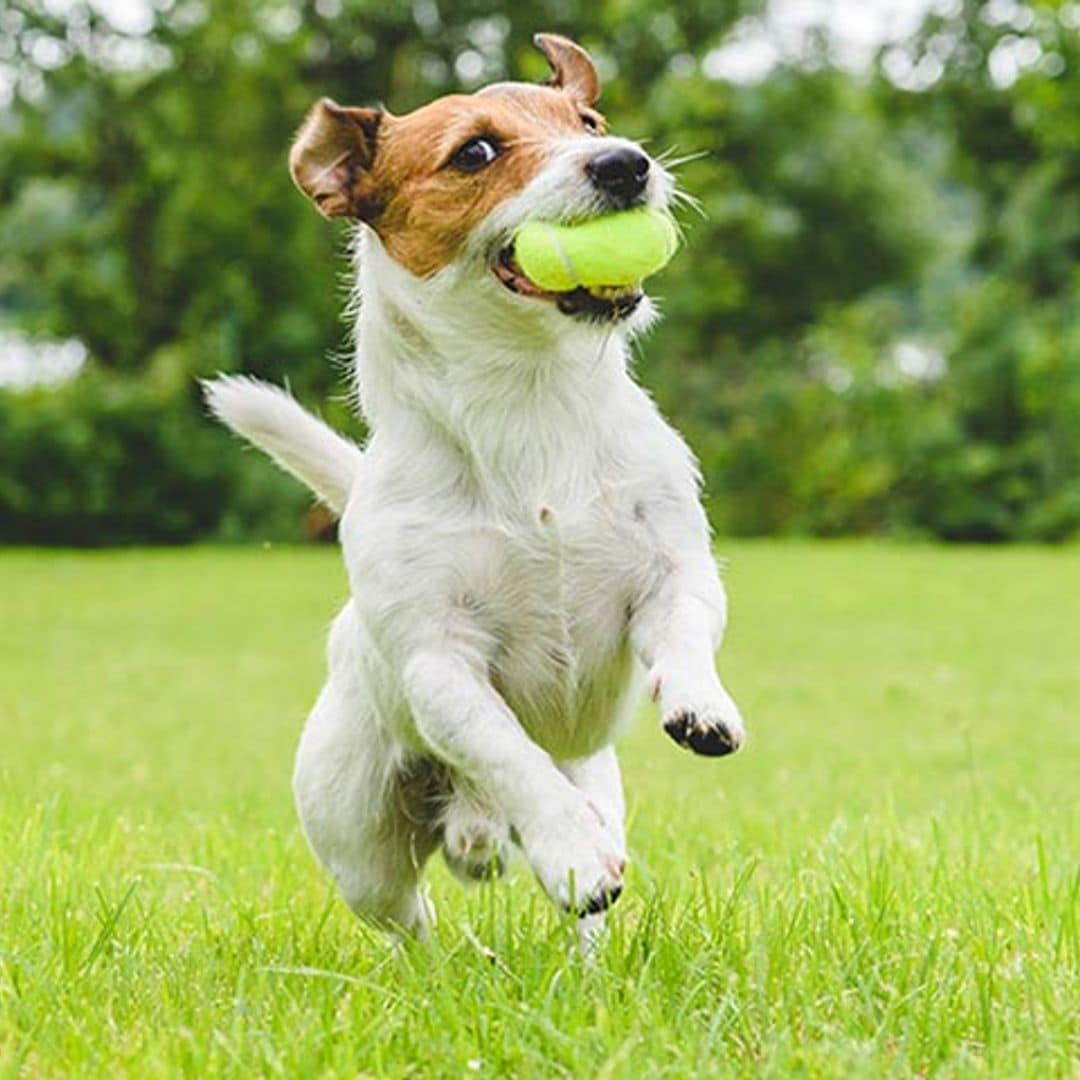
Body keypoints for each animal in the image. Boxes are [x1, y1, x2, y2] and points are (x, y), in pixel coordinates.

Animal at [203, 33, 747, 937]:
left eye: (588, 121)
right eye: (476, 153)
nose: (626, 164)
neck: (530, 403)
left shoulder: (674, 569)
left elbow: (684, 632)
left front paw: (699, 704)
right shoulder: (439, 663)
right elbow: (507, 751)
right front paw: (568, 847)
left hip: (594, 778)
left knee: (582, 900)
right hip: (360, 841)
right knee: (413, 919)